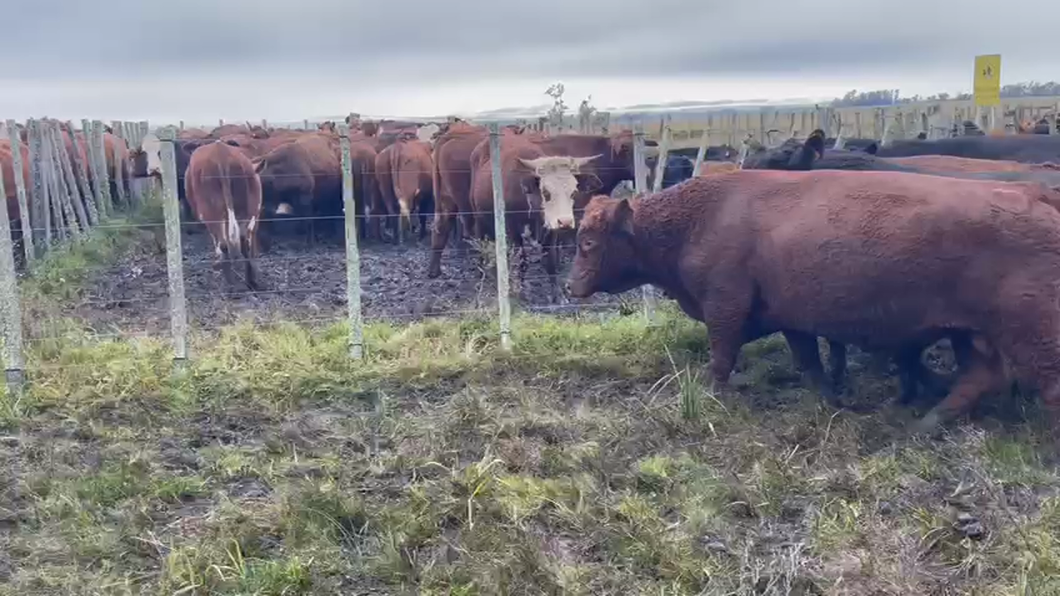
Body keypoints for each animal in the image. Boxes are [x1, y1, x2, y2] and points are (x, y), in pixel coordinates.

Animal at [183, 138, 263, 288]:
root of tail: (221, 153)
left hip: (212, 213)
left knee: (224, 244)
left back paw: (230, 285)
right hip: (252, 210)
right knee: (246, 242)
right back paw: (252, 281)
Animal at [568, 170, 1060, 430]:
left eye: (588, 242)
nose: (570, 288)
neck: (700, 219)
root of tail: (1038, 195)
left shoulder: (724, 307)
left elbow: (721, 357)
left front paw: (711, 397)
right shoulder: (791, 320)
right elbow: (809, 362)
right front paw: (830, 399)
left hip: (1028, 332)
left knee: (1042, 383)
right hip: (968, 331)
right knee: (980, 376)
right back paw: (925, 424)